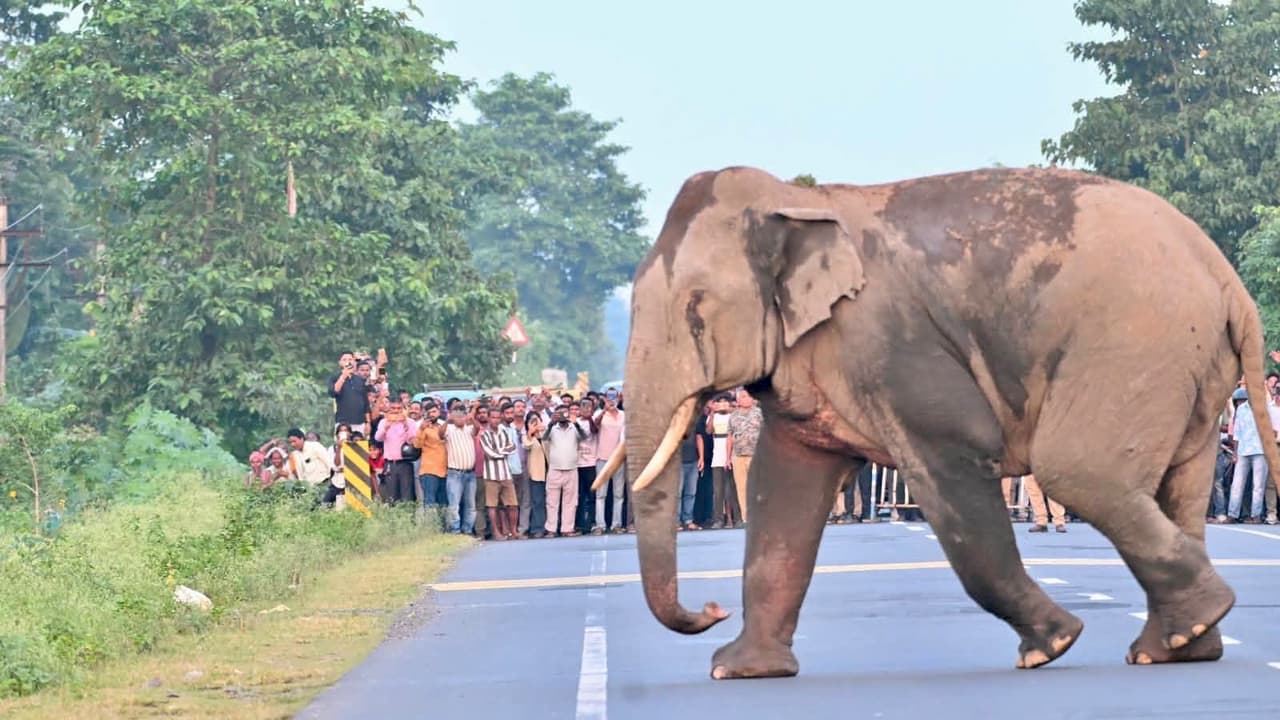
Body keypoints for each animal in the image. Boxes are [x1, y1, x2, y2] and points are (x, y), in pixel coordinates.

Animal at [592, 164, 1280, 680]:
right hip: (1186, 368)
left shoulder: (890, 345)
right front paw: (739, 669)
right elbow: (783, 487)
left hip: (1133, 344)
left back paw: (1192, 621)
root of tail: (1226, 278)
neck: (802, 200)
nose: (707, 608)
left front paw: (1051, 646)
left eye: (695, 308)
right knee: (1173, 485)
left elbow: (952, 461)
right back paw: (1180, 645)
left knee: (1076, 472)